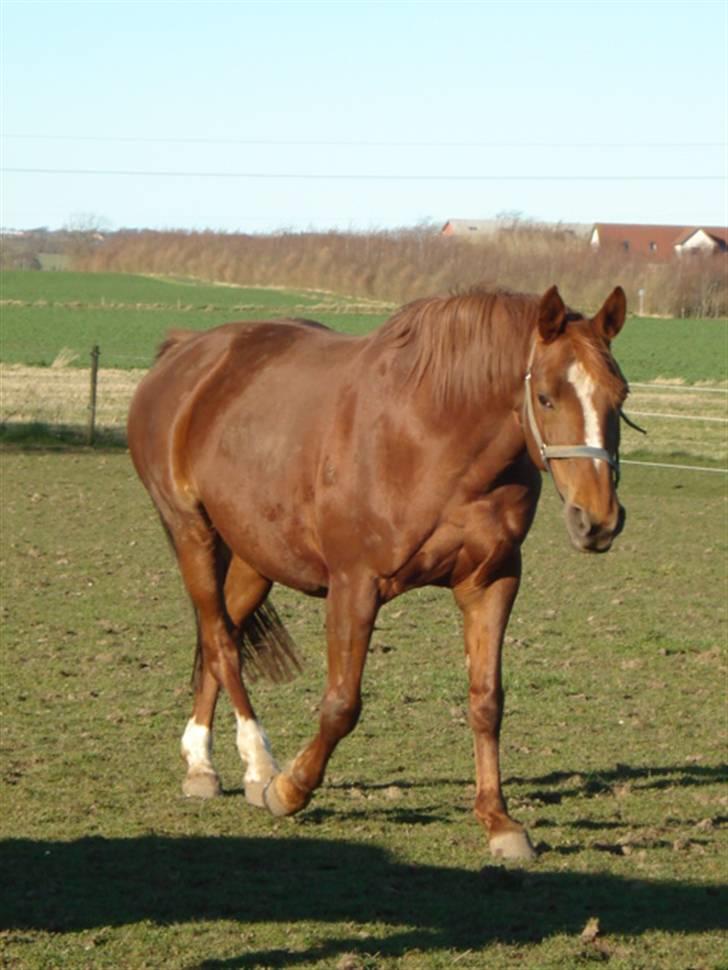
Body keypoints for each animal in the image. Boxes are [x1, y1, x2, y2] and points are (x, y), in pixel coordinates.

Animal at [128, 284, 628, 860]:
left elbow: (486, 701)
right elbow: (342, 704)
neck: (430, 434)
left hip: (255, 555)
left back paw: (204, 762)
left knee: (223, 634)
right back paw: (256, 763)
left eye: (620, 397)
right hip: (192, 531)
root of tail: (186, 353)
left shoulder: (491, 582)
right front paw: (290, 789)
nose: (598, 520)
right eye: (545, 397)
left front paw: (498, 822)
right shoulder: (355, 585)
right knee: (220, 641)